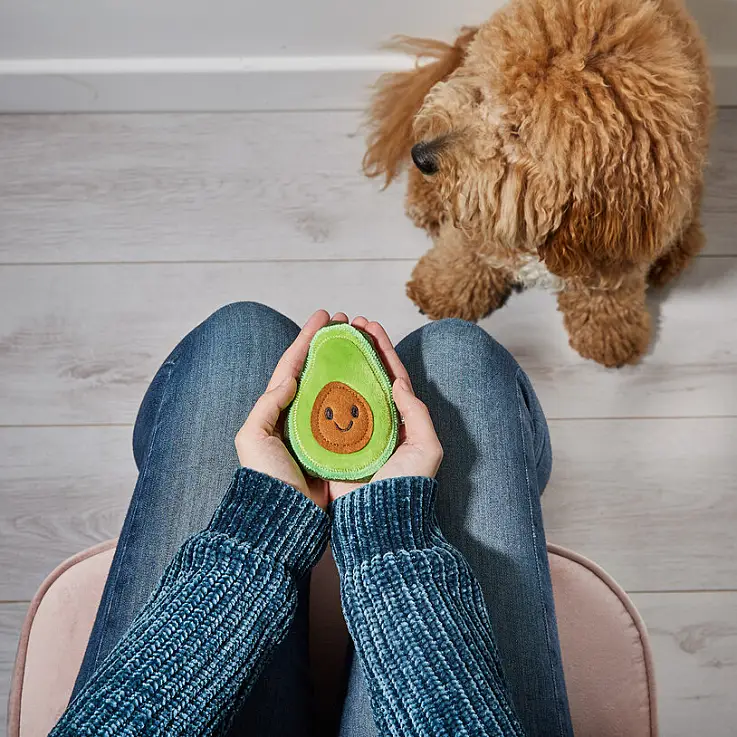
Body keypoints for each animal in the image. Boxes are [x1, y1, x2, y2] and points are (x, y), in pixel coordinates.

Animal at [366, 0, 712, 366]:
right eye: (483, 93)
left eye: (517, 131)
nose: (422, 156)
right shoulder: (484, 213)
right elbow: (463, 252)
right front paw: (441, 288)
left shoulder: (617, 249)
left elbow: (607, 293)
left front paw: (608, 334)